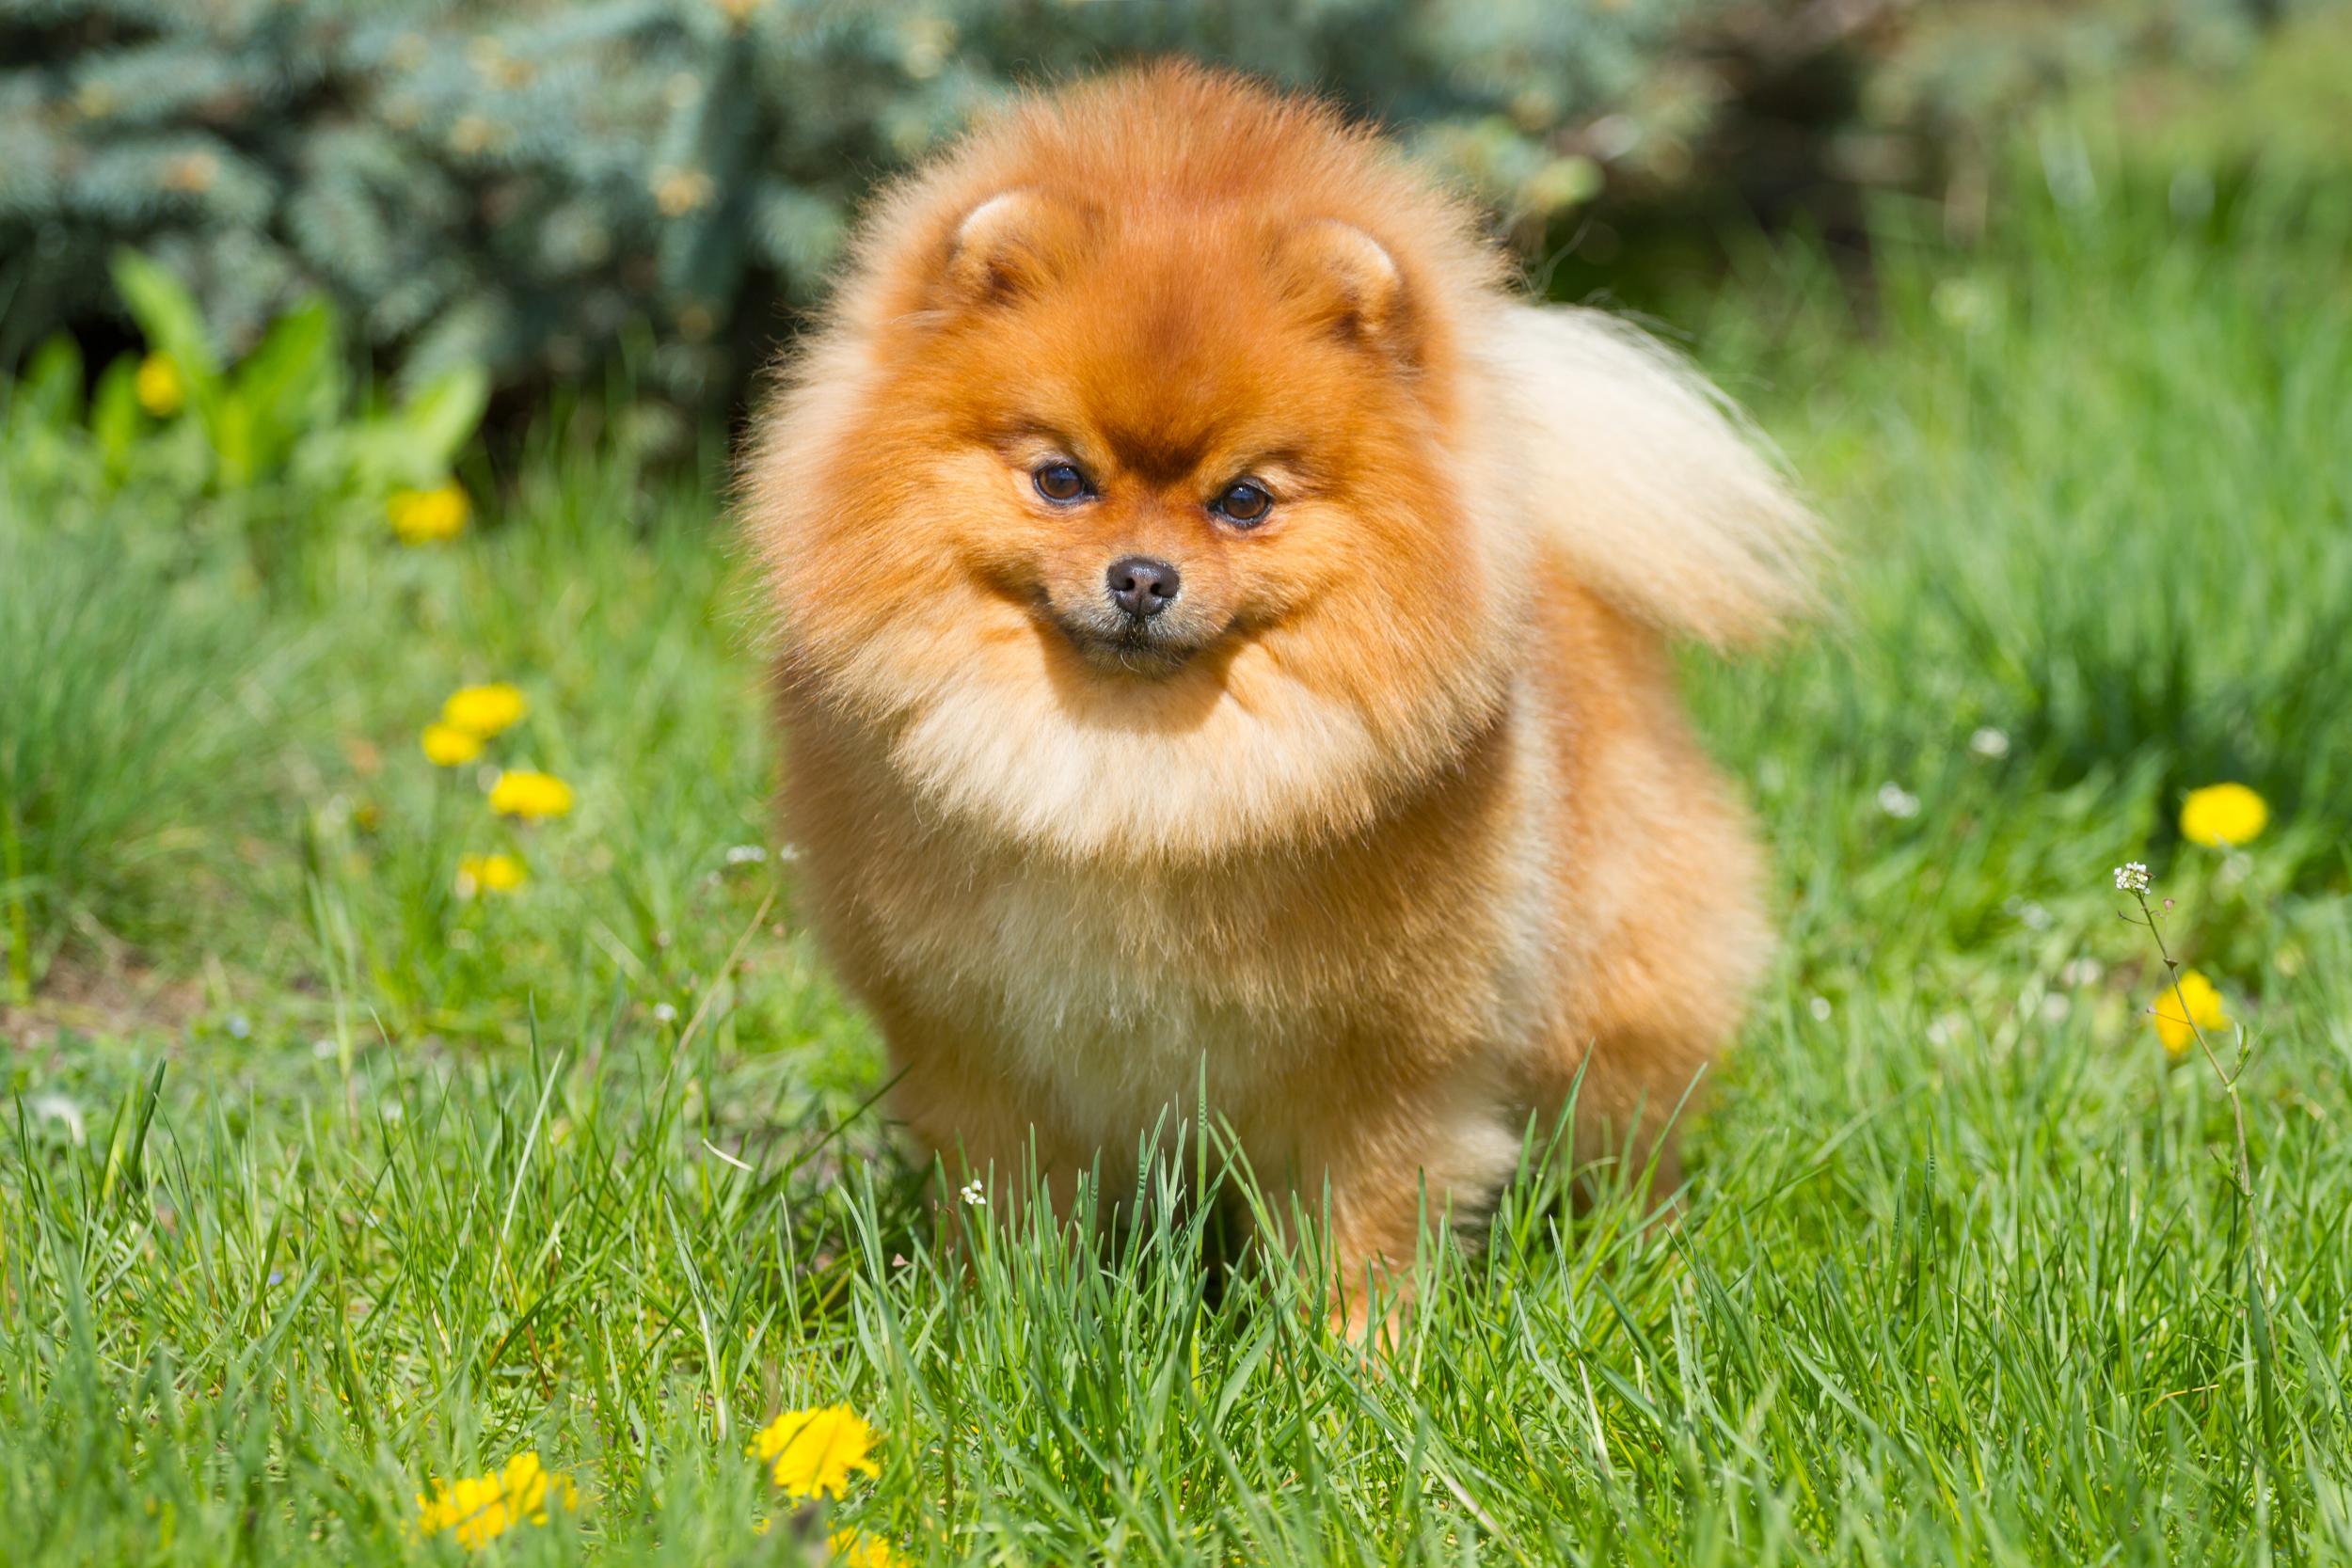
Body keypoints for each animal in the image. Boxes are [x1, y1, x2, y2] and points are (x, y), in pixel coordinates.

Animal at [743, 67, 1806, 1335]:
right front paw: (1010, 1321)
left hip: (1610, 992)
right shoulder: (983, 1050)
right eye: (1062, 479)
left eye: (1243, 499)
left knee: (1625, 1137)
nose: (1141, 577)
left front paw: (1355, 1355)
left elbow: (1363, 1222)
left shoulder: (1382, 1064)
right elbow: (1010, 1210)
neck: (1132, 779)